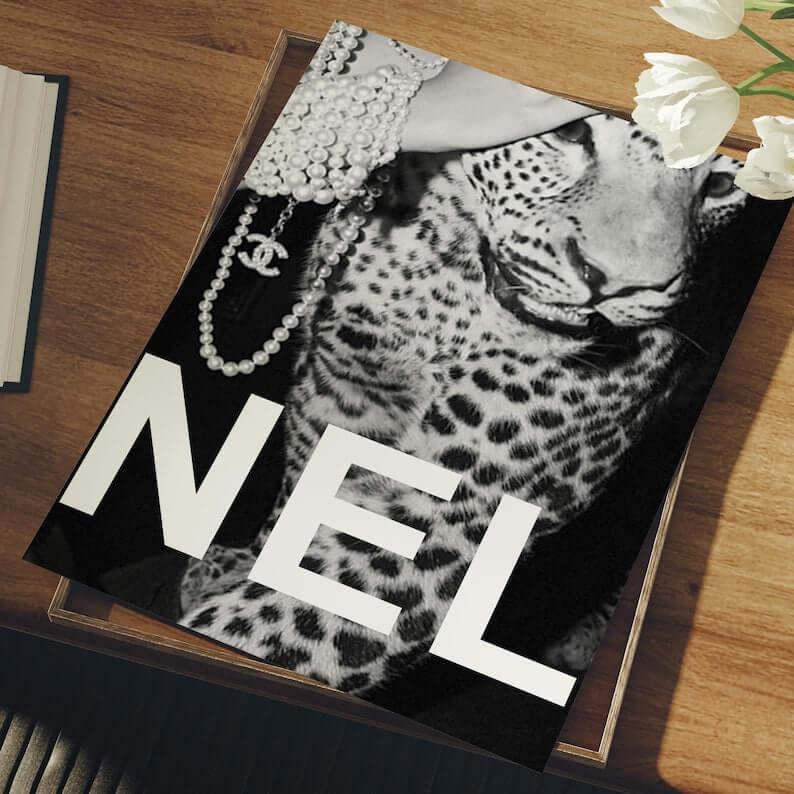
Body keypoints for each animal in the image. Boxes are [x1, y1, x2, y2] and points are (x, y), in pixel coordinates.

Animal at [178, 114, 746, 696]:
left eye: (724, 184)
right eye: (570, 134)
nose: (613, 283)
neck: (448, 306)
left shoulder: (463, 510)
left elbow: (293, 616)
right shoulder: (336, 389)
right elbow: (305, 495)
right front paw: (245, 561)